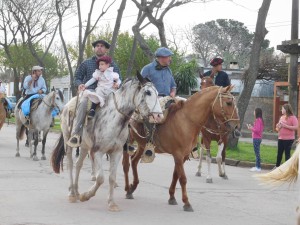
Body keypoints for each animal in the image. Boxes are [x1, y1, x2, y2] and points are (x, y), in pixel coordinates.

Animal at [51, 74, 164, 211]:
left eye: (157, 93)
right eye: (147, 92)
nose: (159, 116)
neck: (114, 119)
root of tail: (67, 106)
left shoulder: (116, 152)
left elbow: (112, 178)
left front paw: (111, 203)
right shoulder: (98, 151)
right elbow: (100, 178)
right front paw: (86, 196)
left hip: (84, 146)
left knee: (78, 164)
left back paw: (77, 191)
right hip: (69, 141)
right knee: (71, 164)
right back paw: (72, 194)